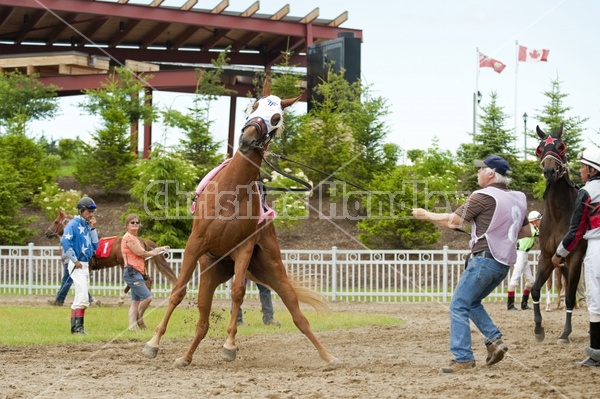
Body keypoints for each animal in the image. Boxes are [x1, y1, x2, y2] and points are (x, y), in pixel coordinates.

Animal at [141, 82, 338, 368]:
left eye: (276, 117)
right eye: (253, 106)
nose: (247, 139)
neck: (231, 192)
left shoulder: (244, 249)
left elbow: (237, 293)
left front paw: (229, 346)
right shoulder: (195, 243)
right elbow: (178, 291)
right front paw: (153, 343)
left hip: (274, 271)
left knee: (299, 317)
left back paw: (328, 355)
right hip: (210, 274)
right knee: (202, 322)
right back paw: (185, 356)